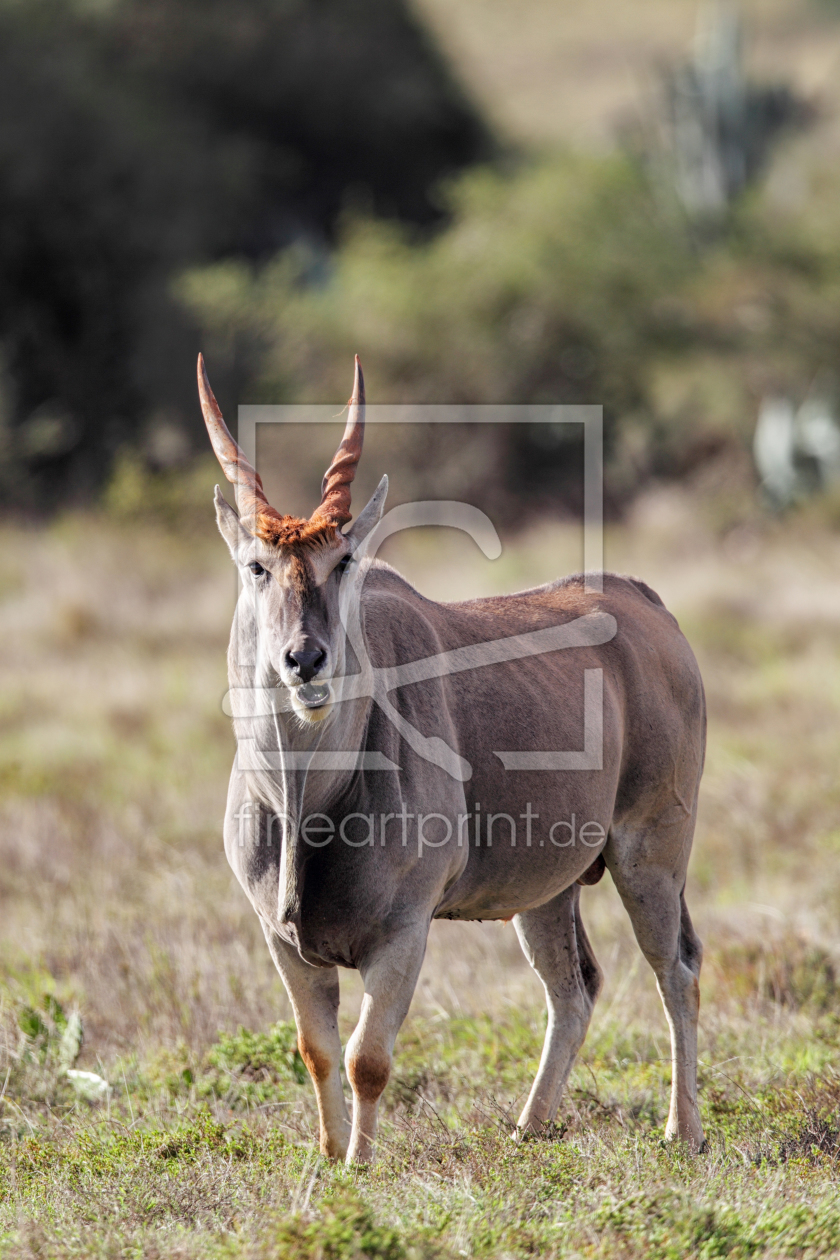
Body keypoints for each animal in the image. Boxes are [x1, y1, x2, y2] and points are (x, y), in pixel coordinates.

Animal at [200, 355, 705, 1159]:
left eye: (344, 561)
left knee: (676, 970)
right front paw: (327, 1157)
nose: (305, 660)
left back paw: (681, 1132)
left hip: (650, 854)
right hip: (548, 890)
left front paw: (360, 1165)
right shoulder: (283, 943)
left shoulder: (403, 934)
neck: (308, 800)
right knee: (575, 988)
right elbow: (316, 1052)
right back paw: (530, 1128)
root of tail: (650, 606)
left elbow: (367, 1058)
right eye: (256, 566)